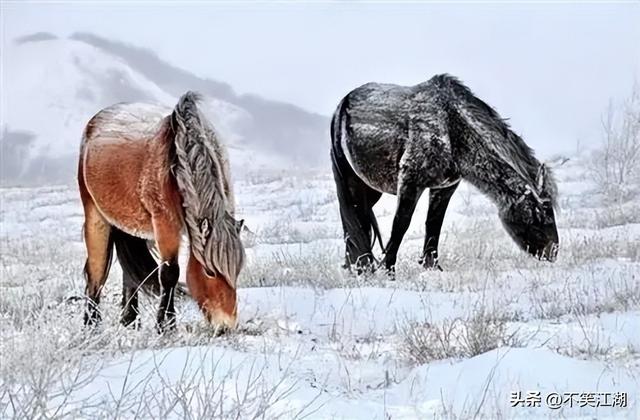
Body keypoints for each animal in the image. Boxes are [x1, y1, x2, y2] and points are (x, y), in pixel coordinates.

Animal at [75, 92, 245, 332]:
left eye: (237, 271)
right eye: (209, 272)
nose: (226, 326)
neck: (179, 161)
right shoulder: (166, 223)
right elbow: (170, 273)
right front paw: (166, 326)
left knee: (129, 274)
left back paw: (130, 320)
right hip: (95, 216)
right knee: (96, 273)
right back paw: (91, 325)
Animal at [332, 75, 556, 272]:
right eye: (537, 215)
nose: (553, 253)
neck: (450, 128)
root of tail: (342, 104)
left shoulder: (444, 188)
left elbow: (434, 224)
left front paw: (431, 267)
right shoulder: (410, 183)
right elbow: (401, 225)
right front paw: (389, 271)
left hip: (370, 189)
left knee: (359, 220)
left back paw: (357, 265)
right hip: (351, 181)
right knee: (354, 218)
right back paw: (362, 267)